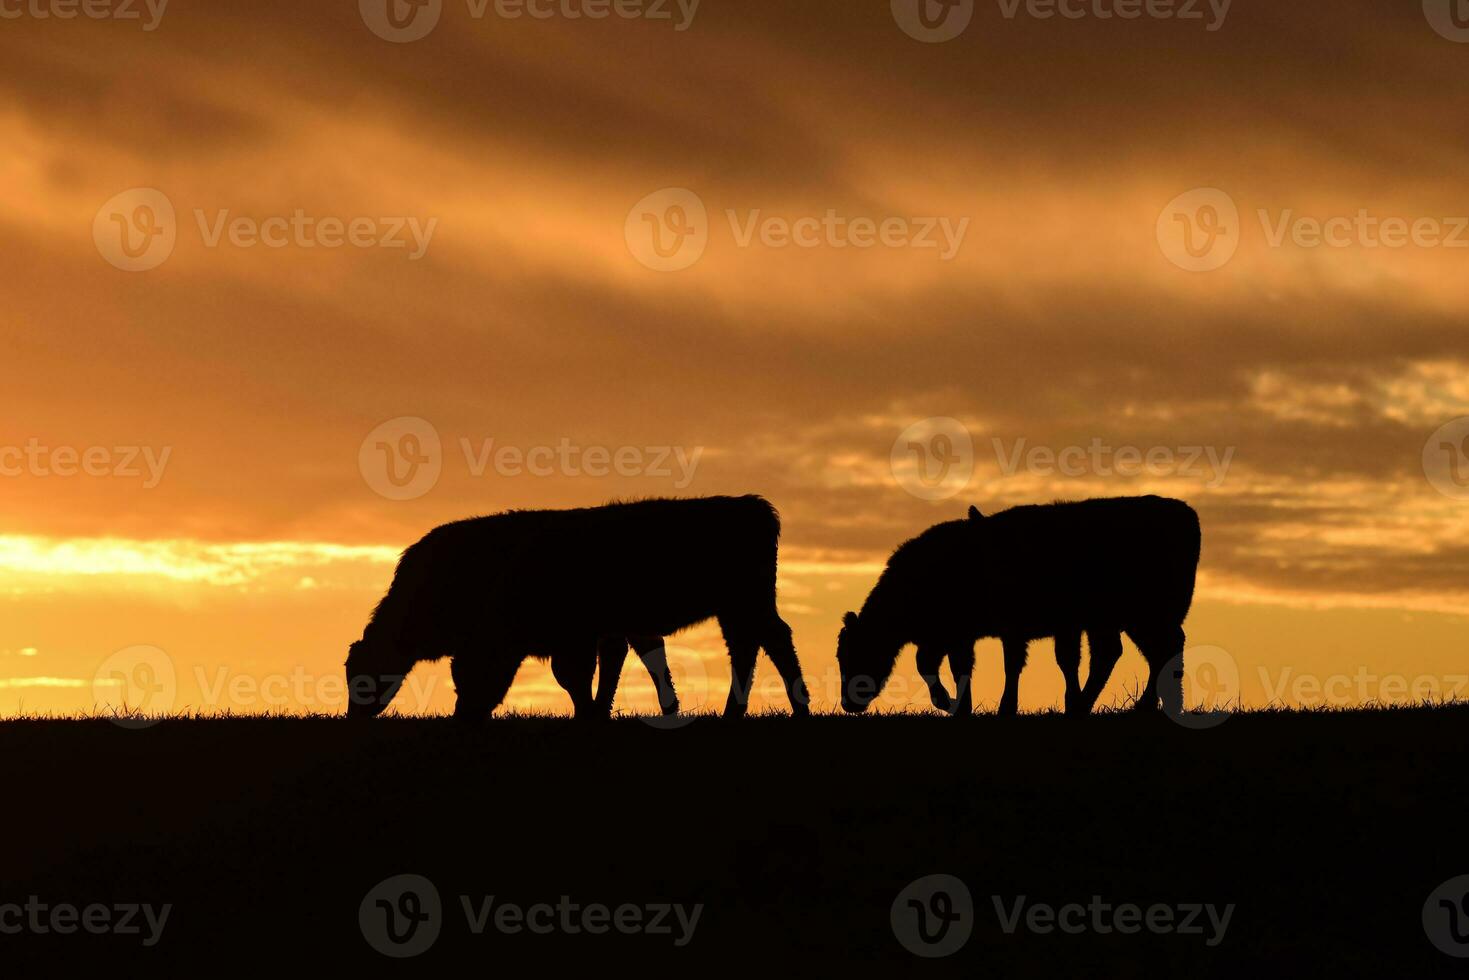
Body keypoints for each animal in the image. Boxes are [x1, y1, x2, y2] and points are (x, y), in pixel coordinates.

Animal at [342, 499, 810, 719]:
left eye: (364, 676)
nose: (354, 715)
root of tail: (751, 504)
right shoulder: (608, 629)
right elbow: (625, 662)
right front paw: (610, 711)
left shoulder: (580, 635)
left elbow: (579, 674)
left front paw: (591, 714)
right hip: (738, 608)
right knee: (752, 645)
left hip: (747, 602)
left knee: (771, 640)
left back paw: (793, 706)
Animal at [846, 502, 1198, 717]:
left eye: (852, 653)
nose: (847, 703)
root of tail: (1184, 512)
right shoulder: (957, 636)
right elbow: (954, 666)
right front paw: (961, 706)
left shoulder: (997, 630)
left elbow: (1009, 664)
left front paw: (992, 706)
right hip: (1129, 621)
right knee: (1137, 653)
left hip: (1144, 617)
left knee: (1156, 651)